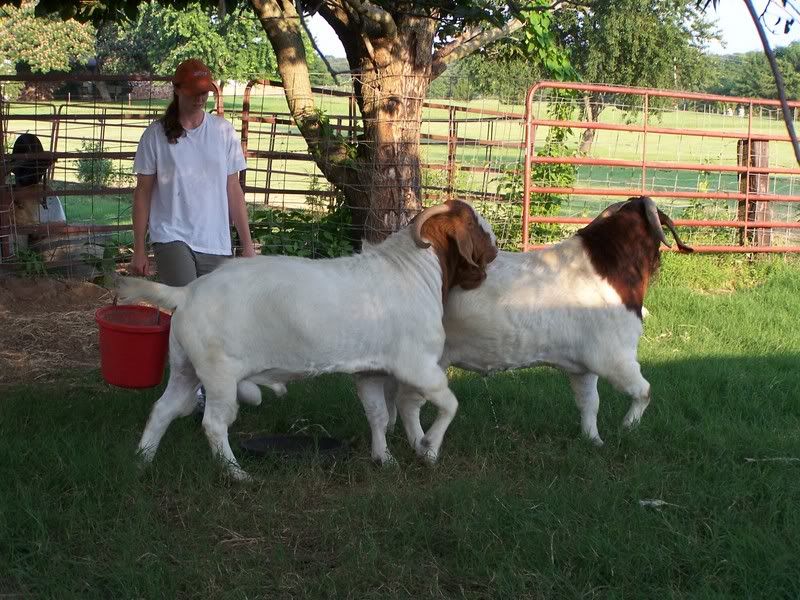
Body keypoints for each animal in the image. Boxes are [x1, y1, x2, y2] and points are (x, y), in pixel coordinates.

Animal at [117, 200, 497, 479]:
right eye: (474, 222)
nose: (495, 247)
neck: (413, 272)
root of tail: (185, 292)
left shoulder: (370, 372)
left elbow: (377, 416)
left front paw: (384, 459)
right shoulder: (420, 366)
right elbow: (450, 403)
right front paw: (429, 448)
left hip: (185, 368)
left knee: (163, 409)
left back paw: (141, 461)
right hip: (218, 373)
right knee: (213, 424)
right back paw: (236, 474)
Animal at [359, 196, 692, 455]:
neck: (608, 268)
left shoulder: (583, 367)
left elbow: (589, 403)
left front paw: (593, 440)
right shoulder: (616, 357)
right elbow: (644, 391)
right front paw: (627, 428)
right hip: (427, 362)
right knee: (407, 402)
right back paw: (422, 446)